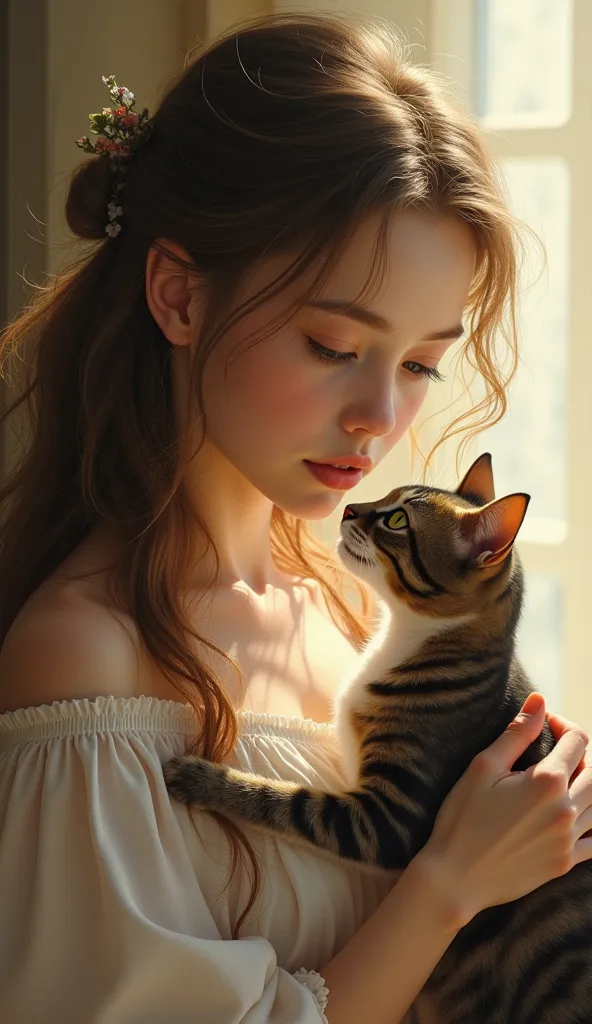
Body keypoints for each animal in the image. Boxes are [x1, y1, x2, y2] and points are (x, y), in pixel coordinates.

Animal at [162, 456, 589, 1024]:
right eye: (384, 498)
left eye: (398, 521)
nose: (349, 508)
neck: (404, 639)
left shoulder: (390, 817)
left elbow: (286, 802)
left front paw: (201, 777)